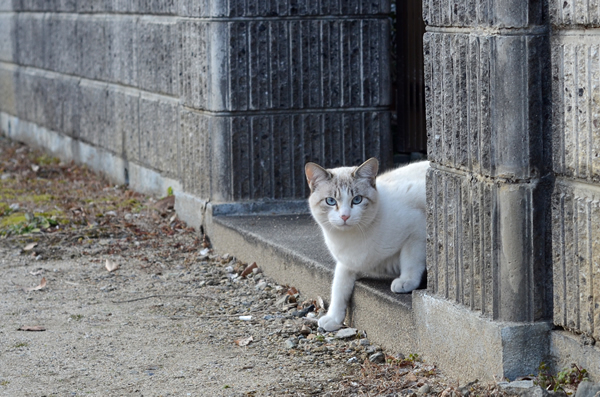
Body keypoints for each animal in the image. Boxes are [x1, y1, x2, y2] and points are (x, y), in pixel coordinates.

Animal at [308, 158, 428, 332]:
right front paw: (333, 319)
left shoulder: (416, 232)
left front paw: (406, 281)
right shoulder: (347, 262)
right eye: (330, 201)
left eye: (357, 199)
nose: (345, 216)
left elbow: (410, 261)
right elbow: (338, 288)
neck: (350, 238)